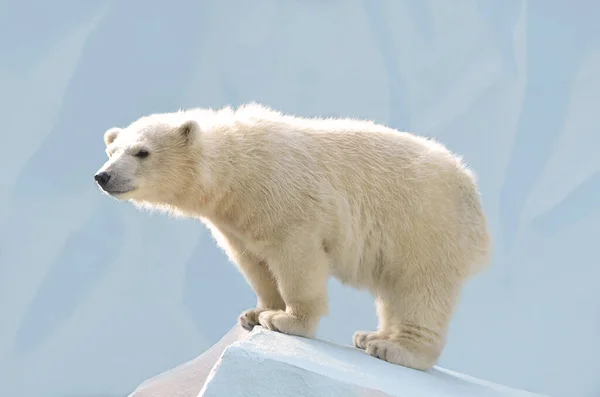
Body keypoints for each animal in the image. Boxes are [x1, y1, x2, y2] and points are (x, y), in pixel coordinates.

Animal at [92, 103, 488, 370]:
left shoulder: (286, 200)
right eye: (111, 150)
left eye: (142, 152)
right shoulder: (236, 220)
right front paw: (256, 312)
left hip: (423, 225)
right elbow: (254, 263)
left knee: (420, 290)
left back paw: (398, 350)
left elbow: (296, 259)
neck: (239, 167)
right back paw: (372, 337)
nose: (103, 176)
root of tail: (471, 190)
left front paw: (287, 321)